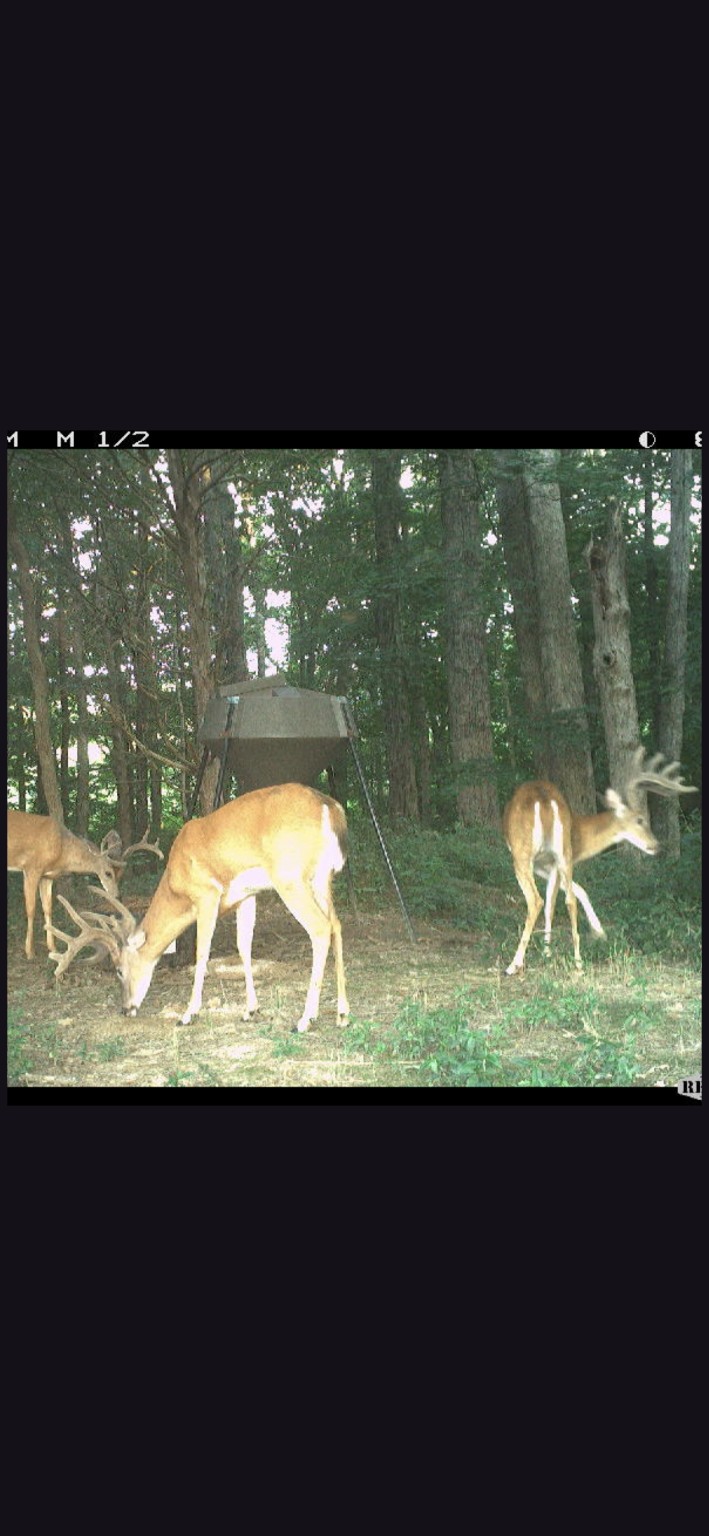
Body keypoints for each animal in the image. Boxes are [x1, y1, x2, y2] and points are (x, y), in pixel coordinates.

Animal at [7, 808, 163, 960]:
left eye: (120, 875)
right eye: (108, 873)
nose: (117, 896)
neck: (61, 849)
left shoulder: (47, 876)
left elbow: (48, 908)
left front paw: (53, 948)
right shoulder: (31, 868)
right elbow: (31, 910)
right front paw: (30, 952)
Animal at [46, 782, 350, 1033]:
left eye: (119, 969)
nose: (126, 1009)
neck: (175, 882)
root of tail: (329, 807)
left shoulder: (207, 894)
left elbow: (201, 952)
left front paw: (188, 1013)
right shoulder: (246, 895)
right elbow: (244, 947)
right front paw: (250, 1010)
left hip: (290, 877)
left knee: (320, 928)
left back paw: (305, 1020)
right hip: (323, 878)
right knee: (336, 924)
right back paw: (342, 1014)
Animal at [502, 749, 696, 976]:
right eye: (640, 820)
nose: (657, 846)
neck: (581, 834)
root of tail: (544, 799)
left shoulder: (545, 863)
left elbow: (554, 899)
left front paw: (549, 949)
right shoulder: (553, 863)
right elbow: (566, 896)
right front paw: (557, 948)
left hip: (523, 853)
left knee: (536, 900)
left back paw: (513, 965)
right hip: (561, 853)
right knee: (566, 900)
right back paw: (578, 962)